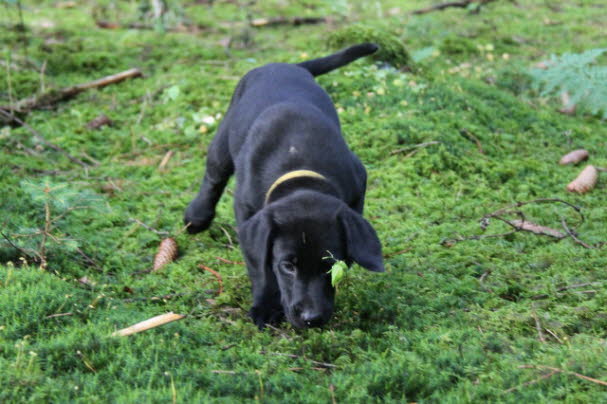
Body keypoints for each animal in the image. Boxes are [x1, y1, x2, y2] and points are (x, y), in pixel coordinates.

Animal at [185, 43, 384, 328]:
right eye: (288, 267)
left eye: (327, 266)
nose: (312, 318)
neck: (298, 165)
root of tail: (287, 65)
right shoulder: (247, 213)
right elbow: (261, 268)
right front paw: (266, 306)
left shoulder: (357, 184)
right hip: (224, 137)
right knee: (214, 176)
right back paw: (196, 216)